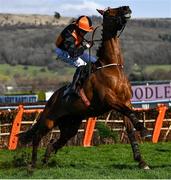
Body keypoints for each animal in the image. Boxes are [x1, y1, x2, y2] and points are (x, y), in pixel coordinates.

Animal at [19, 6, 150, 170]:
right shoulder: (110, 100)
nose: (126, 8)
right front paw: (144, 130)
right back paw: (33, 164)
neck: (111, 68)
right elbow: (130, 113)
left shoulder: (125, 101)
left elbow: (130, 126)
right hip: (49, 120)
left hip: (70, 125)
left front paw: (141, 160)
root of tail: (51, 98)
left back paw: (45, 160)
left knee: (55, 143)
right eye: (109, 12)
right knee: (37, 137)